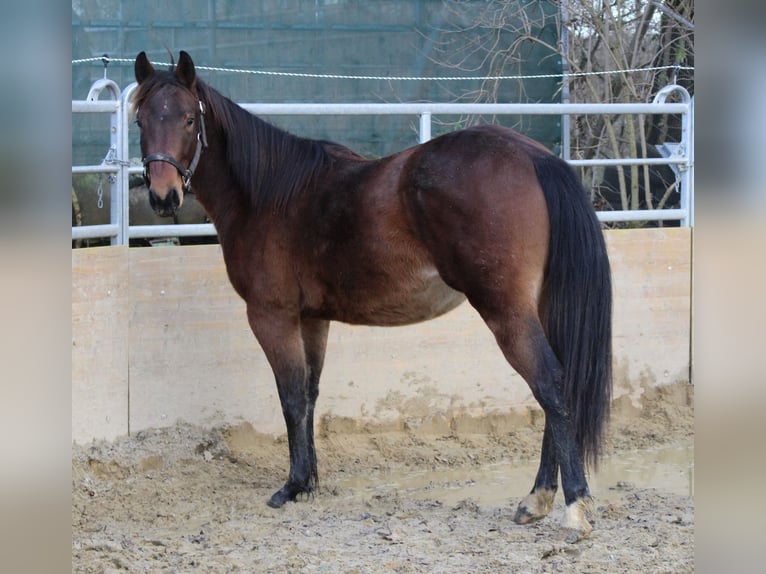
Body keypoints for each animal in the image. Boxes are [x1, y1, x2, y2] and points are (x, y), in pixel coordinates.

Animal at [132, 51, 612, 544]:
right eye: (140, 119)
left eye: (189, 119)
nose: (163, 196)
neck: (268, 194)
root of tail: (534, 156)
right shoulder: (312, 318)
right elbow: (310, 394)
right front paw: (310, 482)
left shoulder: (271, 316)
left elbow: (290, 398)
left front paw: (291, 486)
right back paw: (537, 499)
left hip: (506, 312)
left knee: (551, 386)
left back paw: (572, 504)